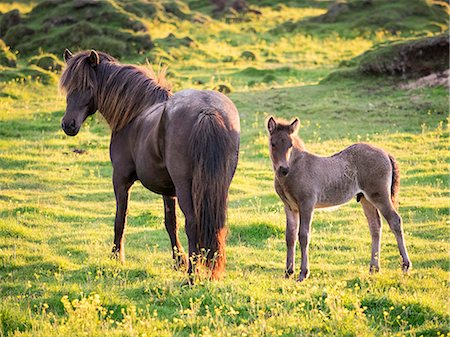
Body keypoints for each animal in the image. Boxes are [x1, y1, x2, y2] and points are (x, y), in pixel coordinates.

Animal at [61, 50, 241, 280]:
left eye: (87, 86)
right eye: (69, 87)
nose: (68, 125)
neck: (135, 113)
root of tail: (207, 111)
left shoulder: (120, 179)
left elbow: (120, 219)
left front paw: (116, 257)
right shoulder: (168, 189)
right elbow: (170, 222)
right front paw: (179, 261)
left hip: (185, 186)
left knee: (193, 222)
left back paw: (191, 277)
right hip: (219, 185)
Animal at [268, 116, 412, 280]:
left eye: (290, 145)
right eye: (273, 144)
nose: (283, 169)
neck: (296, 168)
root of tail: (386, 153)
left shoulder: (307, 204)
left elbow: (303, 235)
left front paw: (303, 273)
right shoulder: (290, 207)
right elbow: (290, 236)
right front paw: (288, 272)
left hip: (380, 196)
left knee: (395, 221)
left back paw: (405, 265)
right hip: (366, 199)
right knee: (375, 227)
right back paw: (374, 268)